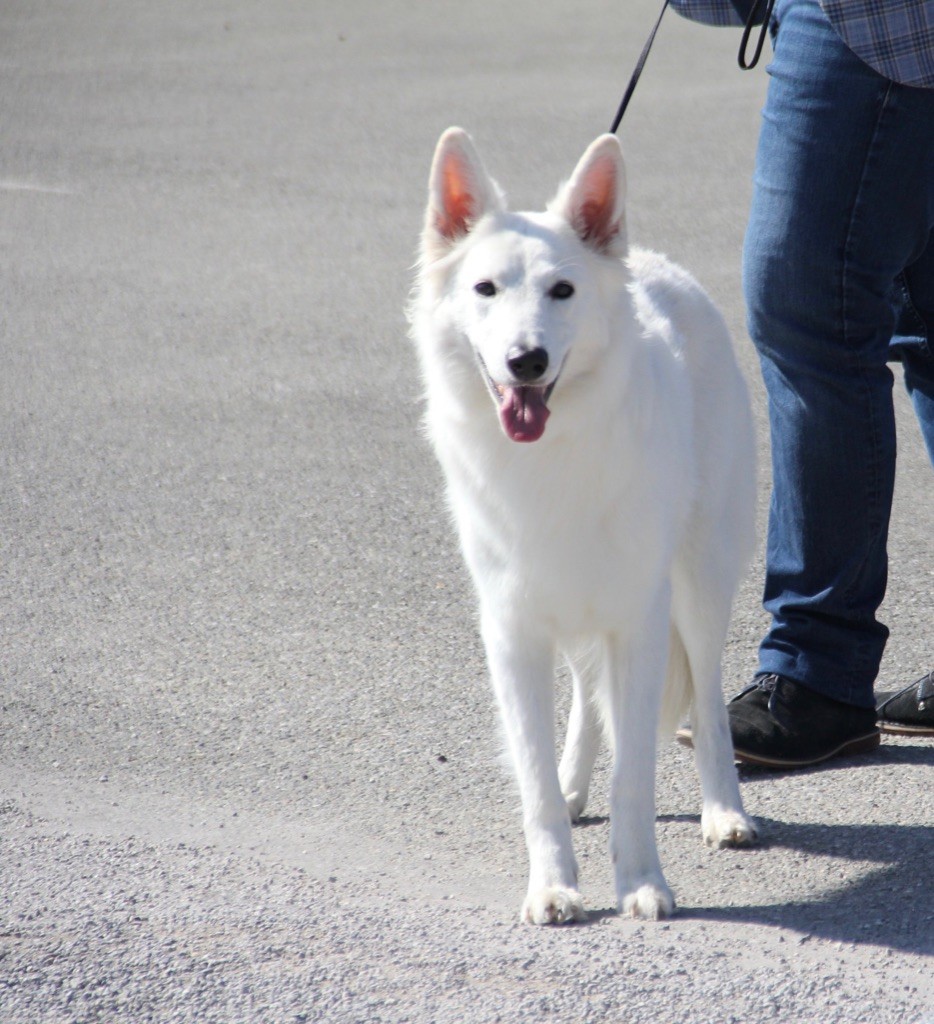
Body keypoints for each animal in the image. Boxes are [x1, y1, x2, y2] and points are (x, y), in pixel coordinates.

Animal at [409, 130, 757, 929]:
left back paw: (724, 810)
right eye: (485, 290)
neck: (554, 449)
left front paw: (642, 884)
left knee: (709, 702)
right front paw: (554, 884)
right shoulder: (516, 630)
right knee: (589, 698)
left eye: (561, 292)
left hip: (698, 586)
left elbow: (636, 773)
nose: (526, 360)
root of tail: (655, 263)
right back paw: (576, 785)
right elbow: (535, 779)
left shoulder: (640, 620)